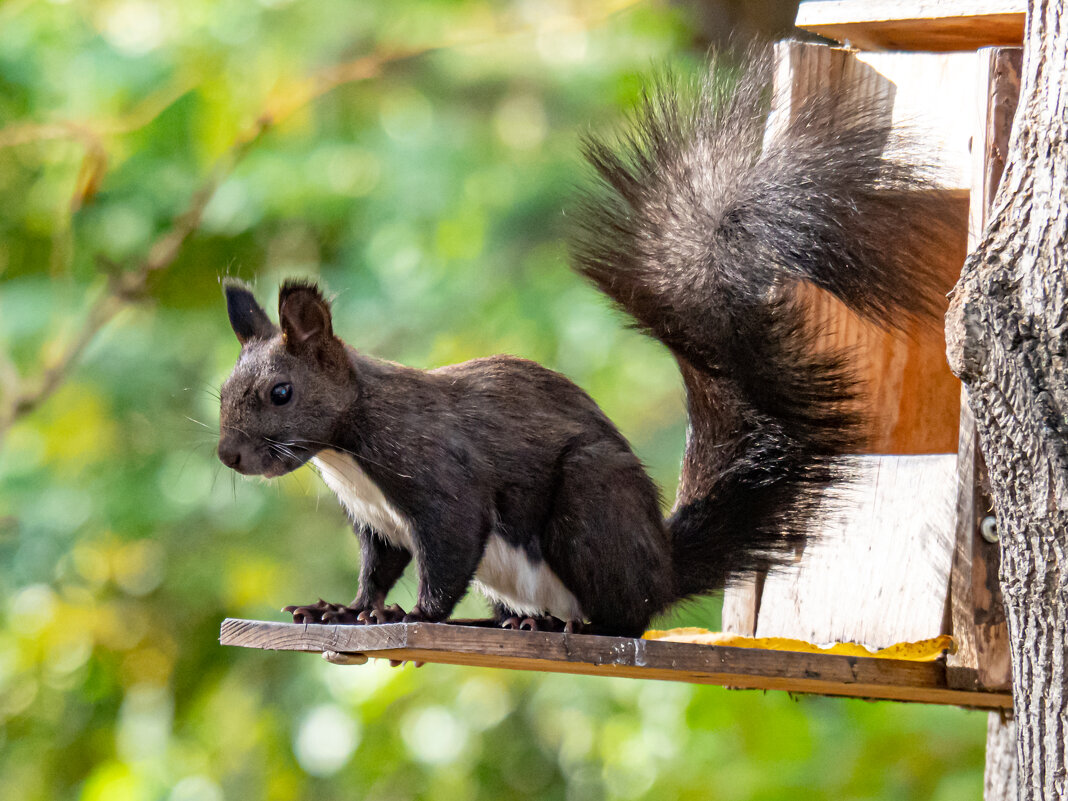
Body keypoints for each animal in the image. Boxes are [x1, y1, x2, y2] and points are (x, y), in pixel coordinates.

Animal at [214, 48, 952, 640]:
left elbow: (446, 552)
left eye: (281, 392)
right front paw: (343, 609)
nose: (229, 456)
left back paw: (574, 623)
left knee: (624, 618)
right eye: (222, 392)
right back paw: (512, 621)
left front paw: (412, 615)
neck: (346, 447)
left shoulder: (440, 477)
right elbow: (377, 567)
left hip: (590, 501)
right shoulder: (375, 519)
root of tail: (662, 569)